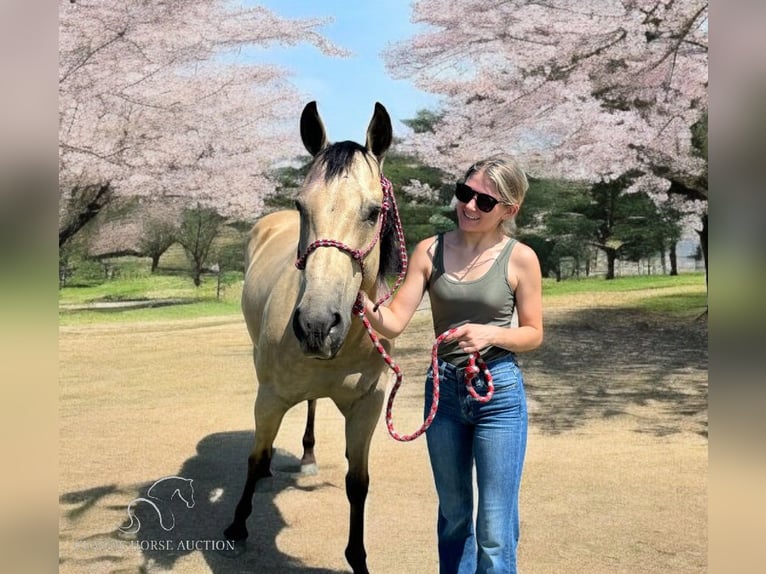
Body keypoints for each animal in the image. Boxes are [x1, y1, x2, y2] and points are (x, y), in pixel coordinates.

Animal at [224, 101, 402, 572]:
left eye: (373, 211)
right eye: (302, 205)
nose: (316, 324)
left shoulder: (368, 405)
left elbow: (358, 482)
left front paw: (357, 558)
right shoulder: (268, 397)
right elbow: (255, 458)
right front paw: (237, 525)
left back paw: (307, 456)